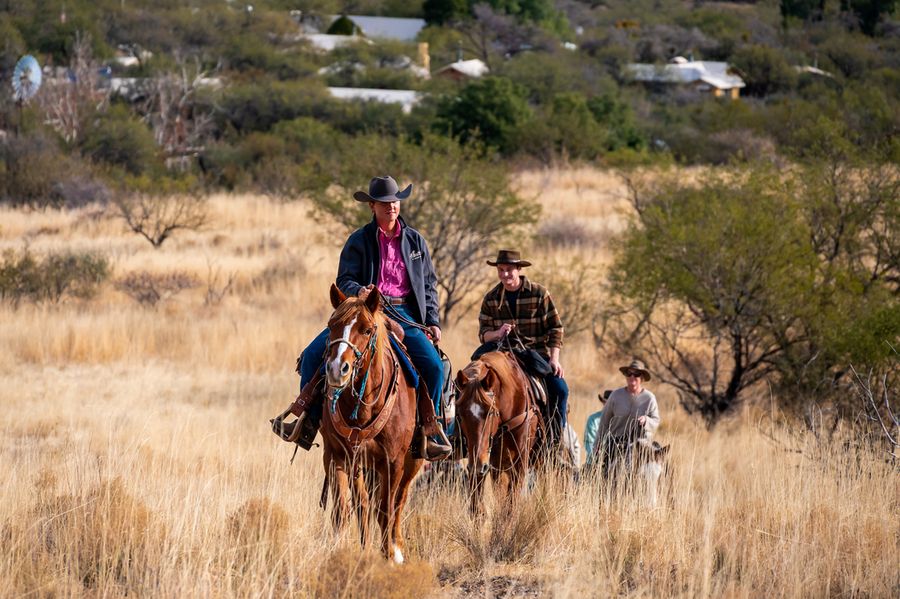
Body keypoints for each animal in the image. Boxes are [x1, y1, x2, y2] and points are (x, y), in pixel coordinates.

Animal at [322, 284, 424, 564]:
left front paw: (388, 554)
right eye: (332, 325)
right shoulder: (338, 455)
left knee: (400, 500)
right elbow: (348, 508)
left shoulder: (393, 462)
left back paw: (397, 547)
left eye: (367, 330)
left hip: (413, 461)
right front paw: (347, 550)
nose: (337, 369)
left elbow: (386, 509)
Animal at [458, 352, 540, 516]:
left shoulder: (519, 463)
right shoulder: (487, 464)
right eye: (461, 414)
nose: (478, 464)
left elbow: (510, 507)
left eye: (490, 412)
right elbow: (477, 507)